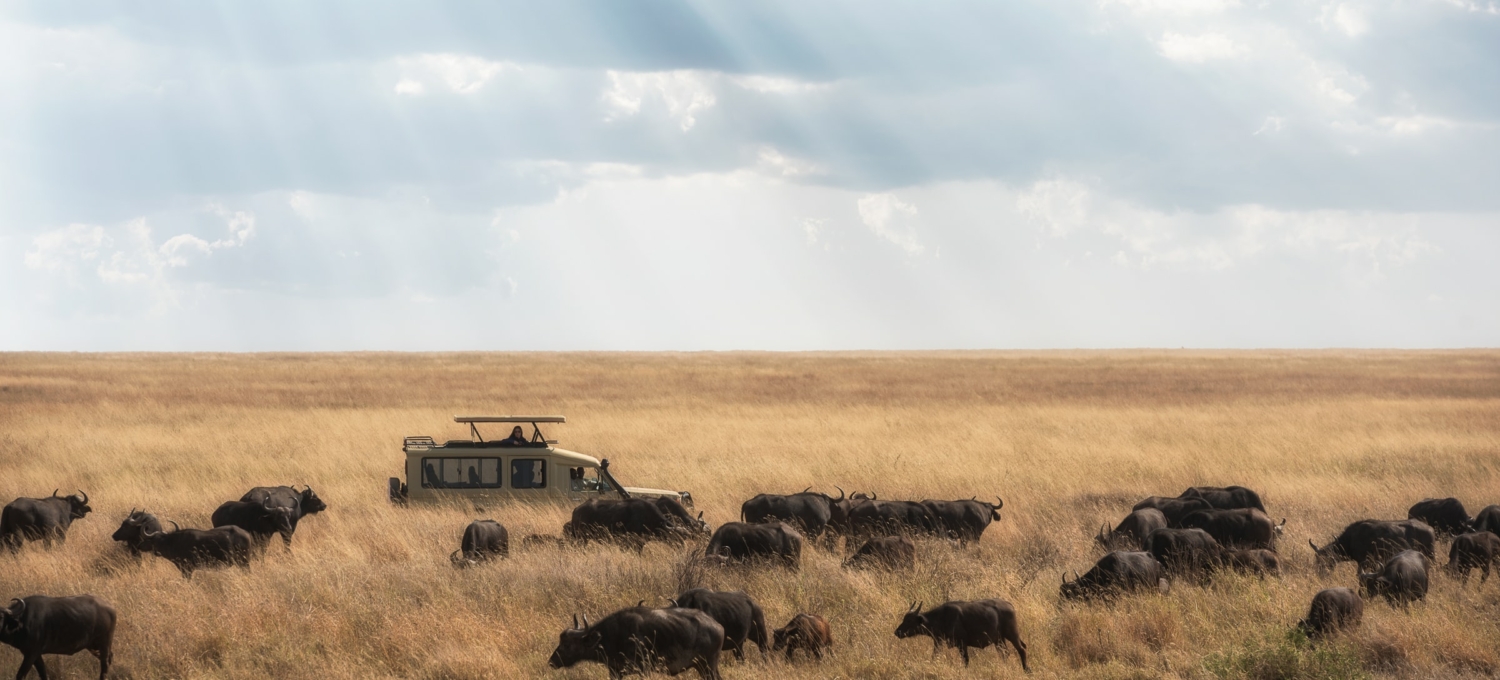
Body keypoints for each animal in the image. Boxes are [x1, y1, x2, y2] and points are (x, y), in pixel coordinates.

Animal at [549, 606, 723, 675]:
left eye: (566, 644)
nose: (551, 662)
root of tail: (719, 627)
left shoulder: (643, 669)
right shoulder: (615, 671)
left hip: (707, 666)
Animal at [894, 600, 1026, 666]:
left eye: (909, 620)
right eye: (904, 619)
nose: (897, 632)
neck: (942, 618)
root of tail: (1009, 605)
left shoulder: (962, 644)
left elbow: (965, 660)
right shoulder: (938, 642)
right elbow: (934, 657)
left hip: (1012, 634)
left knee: (1022, 649)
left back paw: (1027, 670)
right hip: (999, 640)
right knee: (1005, 653)